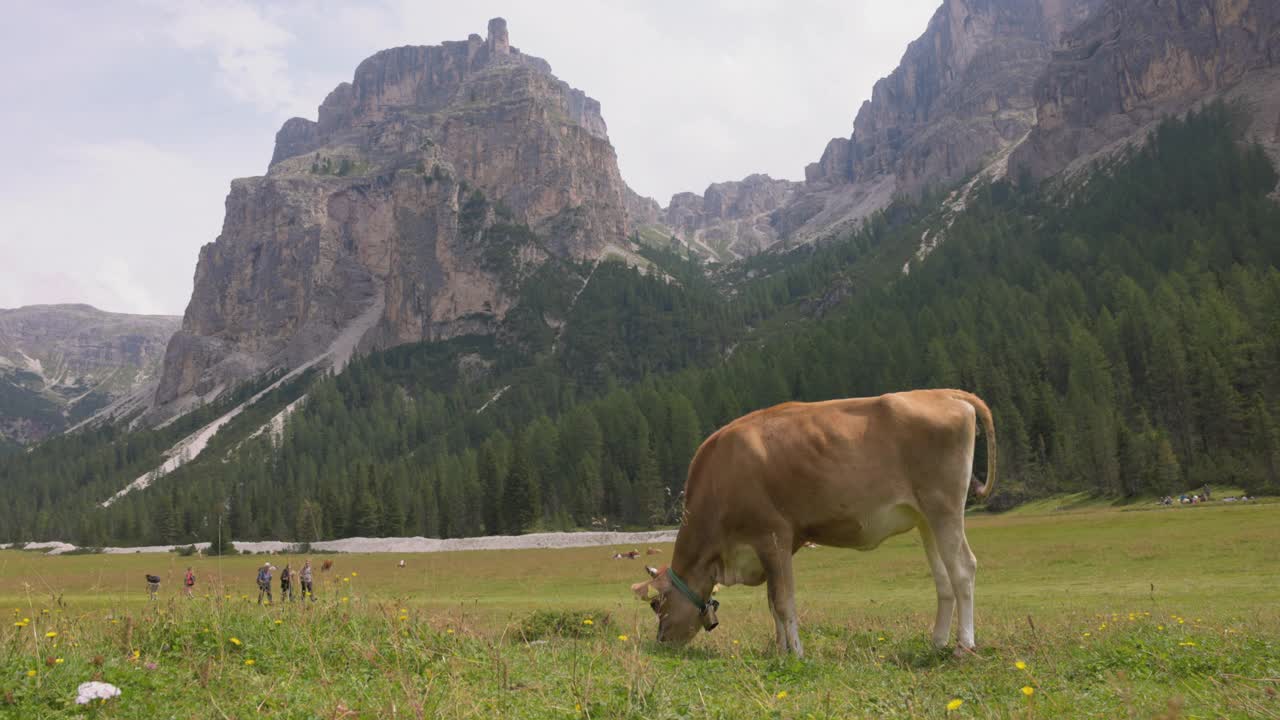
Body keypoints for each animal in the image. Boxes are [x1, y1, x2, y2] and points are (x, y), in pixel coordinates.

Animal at [629, 389, 998, 653]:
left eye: (656, 604)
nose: (661, 641)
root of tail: (946, 393)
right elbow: (771, 603)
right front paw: (779, 650)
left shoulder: (773, 535)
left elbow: (782, 602)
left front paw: (796, 652)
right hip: (926, 519)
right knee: (944, 580)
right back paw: (937, 642)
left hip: (944, 507)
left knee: (964, 568)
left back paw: (964, 646)